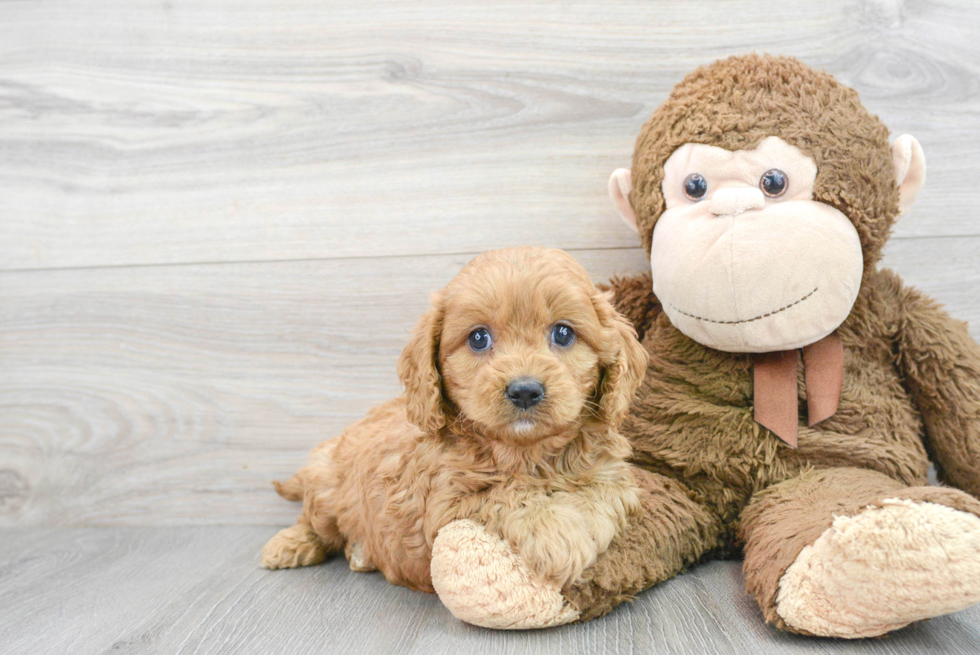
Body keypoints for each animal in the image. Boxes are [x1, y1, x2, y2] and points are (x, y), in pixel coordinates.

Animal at [260, 247, 652, 596]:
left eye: (564, 333)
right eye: (478, 338)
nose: (525, 390)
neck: (526, 452)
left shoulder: (613, 471)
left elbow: (605, 489)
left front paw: (581, 523)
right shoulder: (443, 504)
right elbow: (505, 492)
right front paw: (556, 533)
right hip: (327, 492)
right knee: (313, 522)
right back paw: (288, 545)